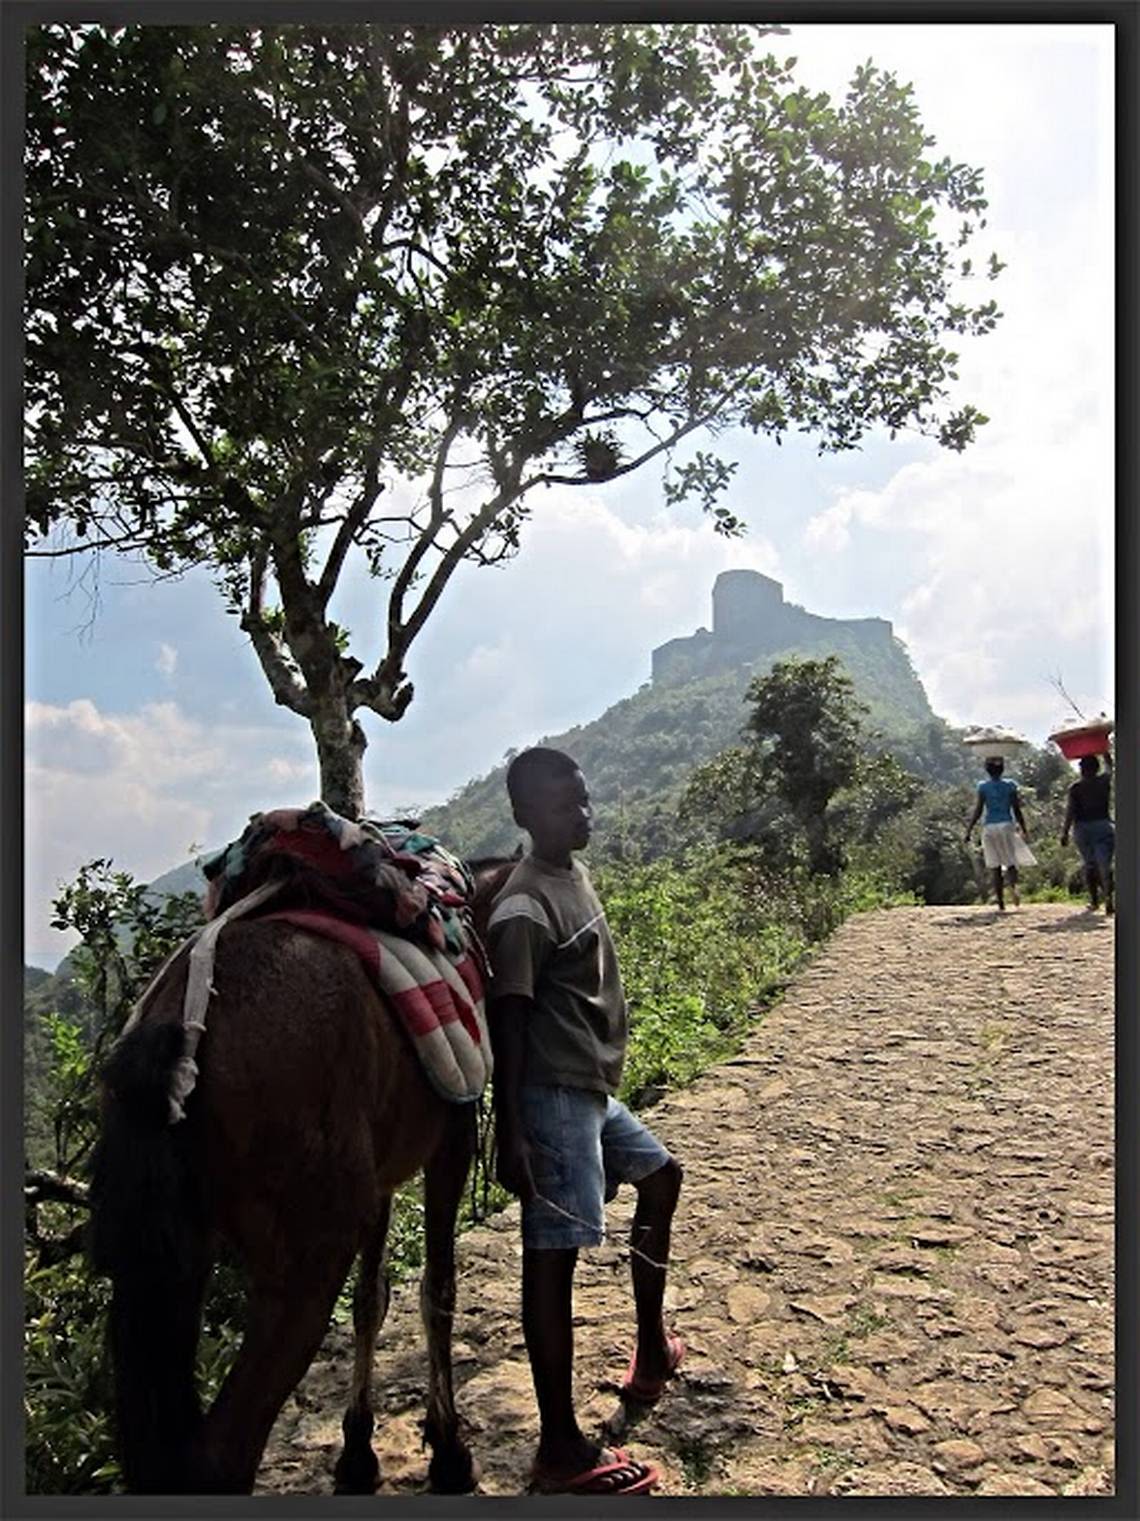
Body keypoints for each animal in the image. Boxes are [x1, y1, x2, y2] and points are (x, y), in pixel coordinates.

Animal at [89, 863, 516, 1490]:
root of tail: (176, 1027)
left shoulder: (380, 1179)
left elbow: (370, 1299)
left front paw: (358, 1451)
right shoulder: (450, 1144)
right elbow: (437, 1290)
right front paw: (448, 1453)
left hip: (165, 1265)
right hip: (307, 1255)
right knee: (221, 1453)